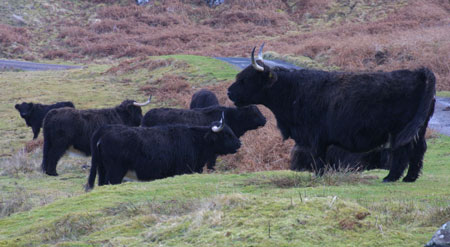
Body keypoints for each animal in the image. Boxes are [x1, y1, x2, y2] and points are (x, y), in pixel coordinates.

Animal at [229, 44, 436, 182]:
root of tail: (419, 73)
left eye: (246, 78)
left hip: (400, 129)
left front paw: (318, 175)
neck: (293, 91)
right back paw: (410, 178)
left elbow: (318, 156)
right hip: (419, 128)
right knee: (419, 150)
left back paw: (391, 177)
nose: (229, 92)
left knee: (402, 151)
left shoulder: (315, 135)